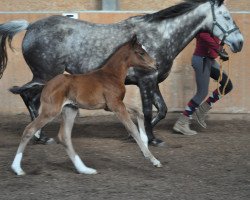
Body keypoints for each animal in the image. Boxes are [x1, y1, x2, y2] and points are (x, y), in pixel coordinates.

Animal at [11, 34, 162, 175]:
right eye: (141, 52)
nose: (156, 65)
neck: (111, 75)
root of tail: (46, 85)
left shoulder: (112, 105)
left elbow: (139, 112)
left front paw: (146, 143)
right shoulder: (116, 105)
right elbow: (132, 128)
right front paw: (153, 159)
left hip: (70, 109)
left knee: (64, 136)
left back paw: (84, 169)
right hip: (51, 111)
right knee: (29, 129)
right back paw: (17, 168)